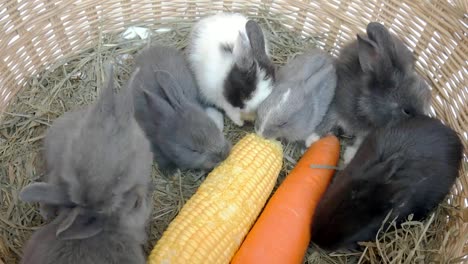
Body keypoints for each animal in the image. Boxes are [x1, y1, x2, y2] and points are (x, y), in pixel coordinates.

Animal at [314, 22, 432, 163]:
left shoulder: (369, 132)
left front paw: (349, 156)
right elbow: (327, 120)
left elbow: (360, 142)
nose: (421, 124)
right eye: (407, 111)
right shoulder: (336, 104)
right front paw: (312, 139)